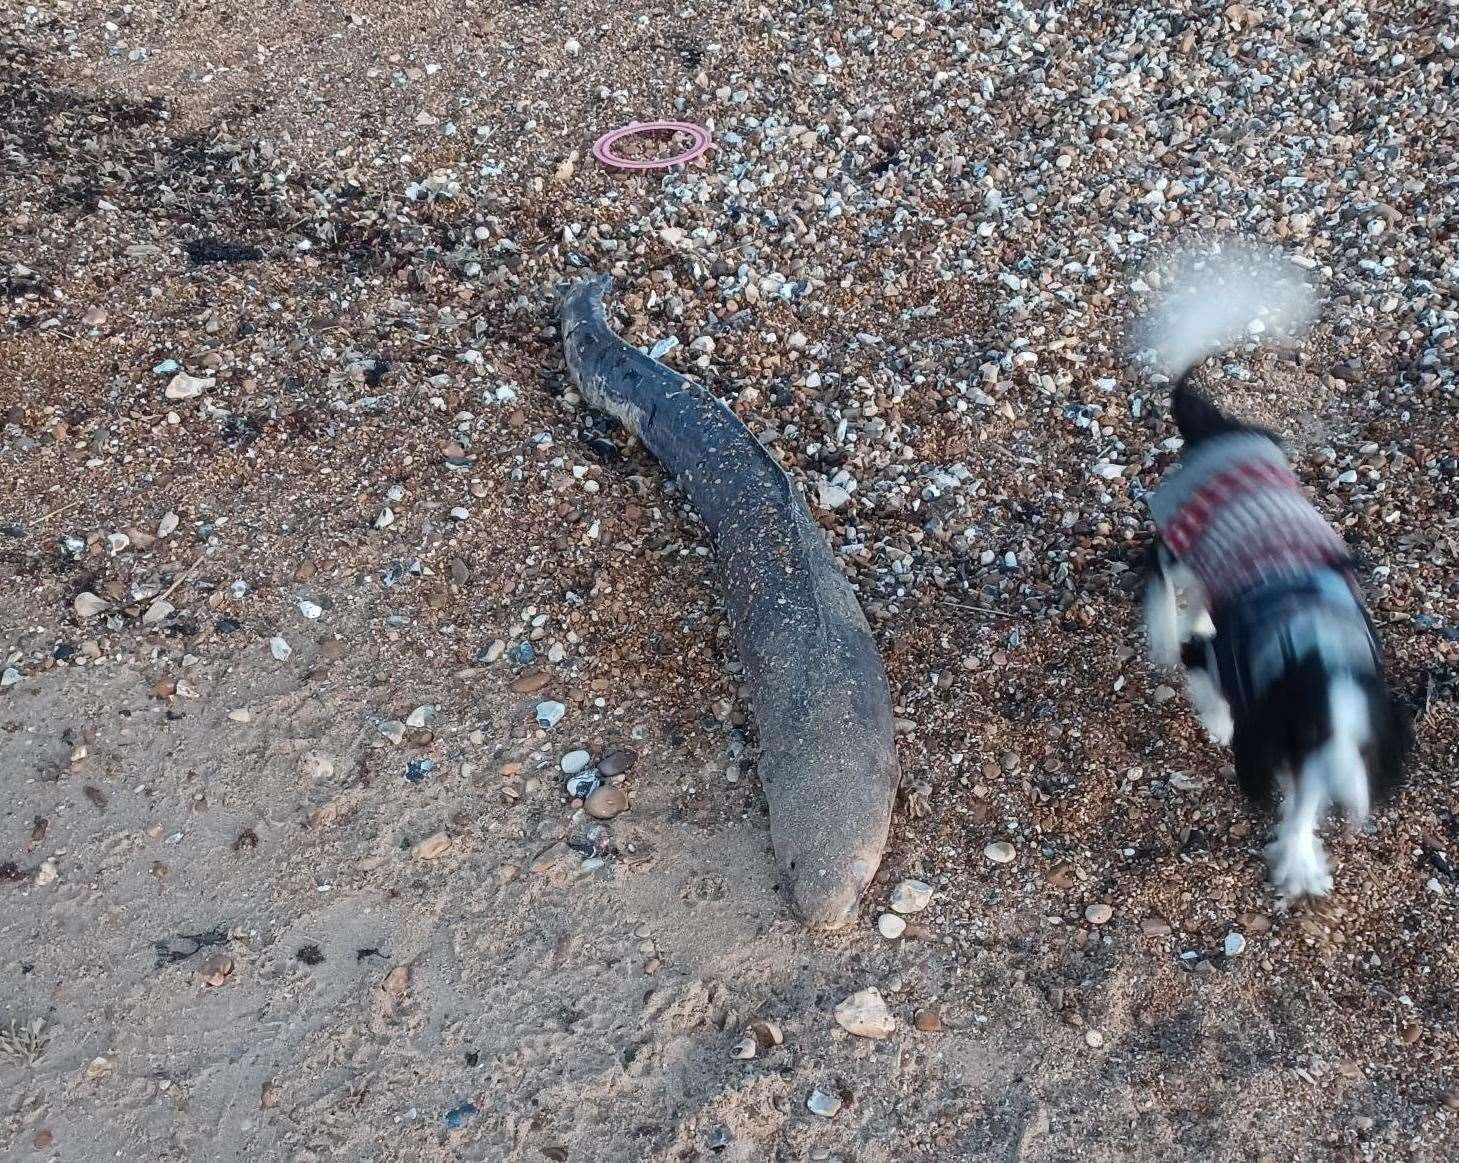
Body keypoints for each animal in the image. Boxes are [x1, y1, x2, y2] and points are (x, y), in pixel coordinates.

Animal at [1138, 242, 1412, 898]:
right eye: (1315, 733)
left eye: (1366, 748)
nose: (1350, 801)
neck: (1314, 639)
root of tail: (1220, 430)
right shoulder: (1244, 691)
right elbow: (1209, 684)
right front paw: (1216, 721)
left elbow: (1299, 799)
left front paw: (1301, 857)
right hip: (1180, 538)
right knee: (1159, 570)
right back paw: (1163, 629)